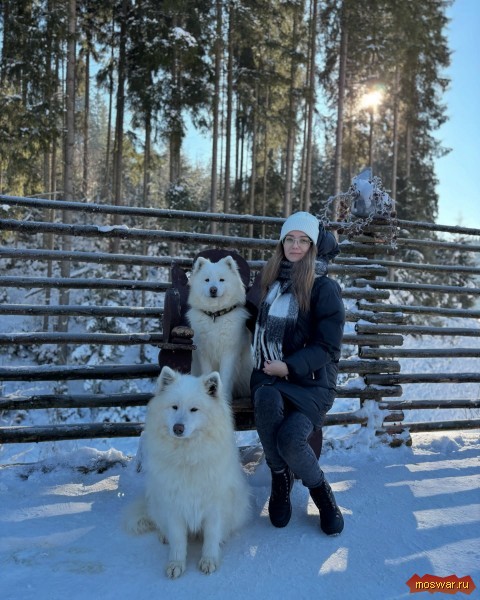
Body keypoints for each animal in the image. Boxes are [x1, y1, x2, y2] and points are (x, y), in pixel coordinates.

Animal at [123, 366, 250, 579]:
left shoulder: (214, 505)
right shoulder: (174, 504)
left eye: (194, 409)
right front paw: (176, 564)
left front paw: (209, 560)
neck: (188, 458)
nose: (178, 428)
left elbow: (211, 535)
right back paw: (163, 536)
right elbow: (177, 539)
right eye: (174, 407)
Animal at [187, 255, 253, 401]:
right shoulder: (204, 353)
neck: (215, 315)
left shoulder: (229, 352)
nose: (213, 289)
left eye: (221, 279)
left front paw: (225, 398)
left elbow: (225, 377)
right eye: (207, 280)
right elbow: (208, 374)